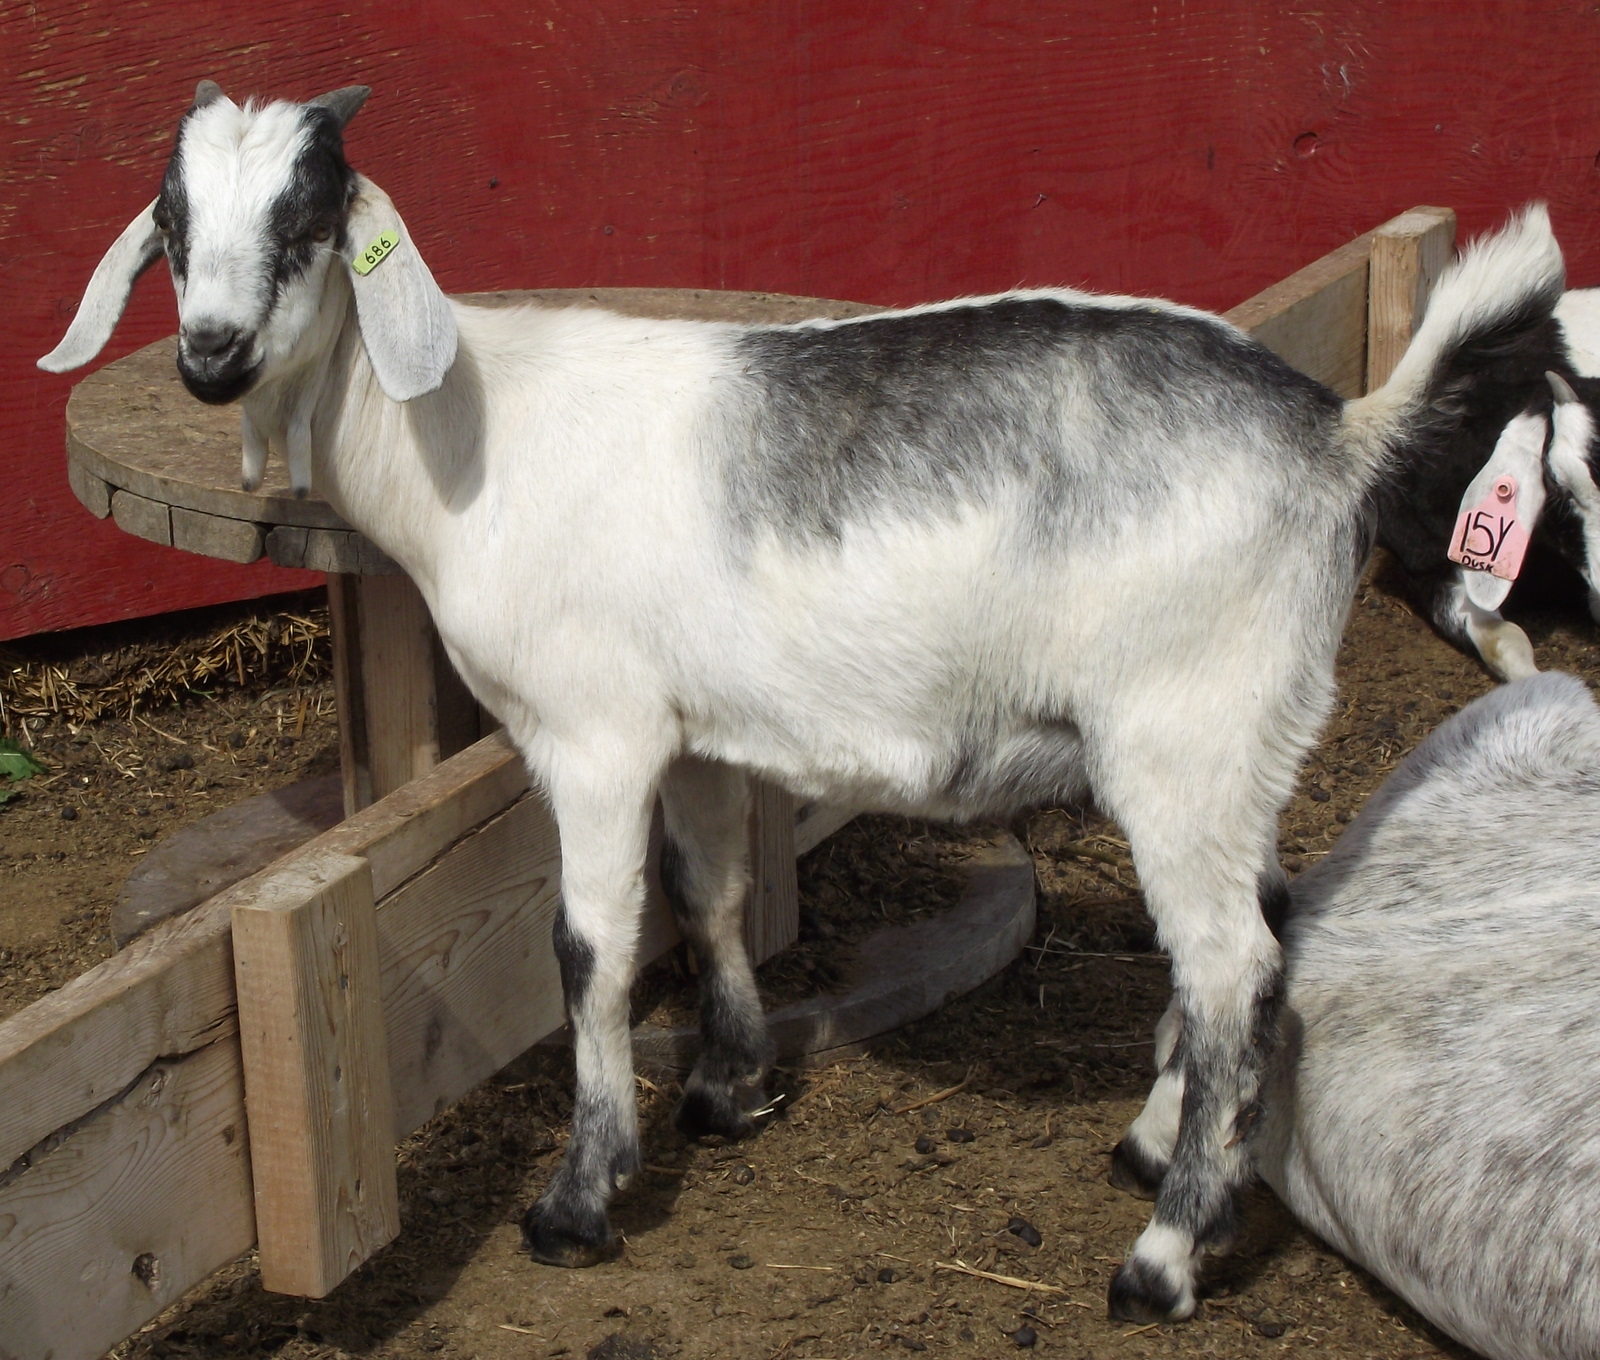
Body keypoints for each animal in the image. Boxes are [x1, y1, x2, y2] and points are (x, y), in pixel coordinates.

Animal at [36, 82, 1566, 1323]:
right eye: (172, 215)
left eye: (309, 211)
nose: (211, 355)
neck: (471, 429)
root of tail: (1336, 434)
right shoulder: (697, 732)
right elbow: (707, 893)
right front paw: (731, 1090)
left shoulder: (592, 732)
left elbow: (589, 948)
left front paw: (581, 1198)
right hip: (1238, 741)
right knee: (1255, 930)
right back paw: (1148, 1140)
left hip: (1182, 729)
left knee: (1234, 966)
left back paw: (1162, 1257)